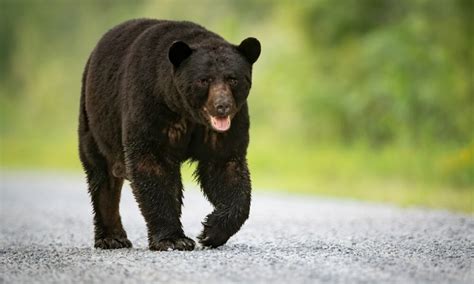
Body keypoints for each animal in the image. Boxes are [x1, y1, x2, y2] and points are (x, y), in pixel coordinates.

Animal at [79, 18, 262, 251]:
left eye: (233, 79)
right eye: (204, 80)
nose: (223, 106)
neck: (186, 111)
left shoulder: (227, 128)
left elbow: (226, 168)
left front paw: (211, 231)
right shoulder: (150, 106)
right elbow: (152, 166)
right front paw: (173, 240)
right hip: (94, 119)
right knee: (102, 174)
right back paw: (112, 238)